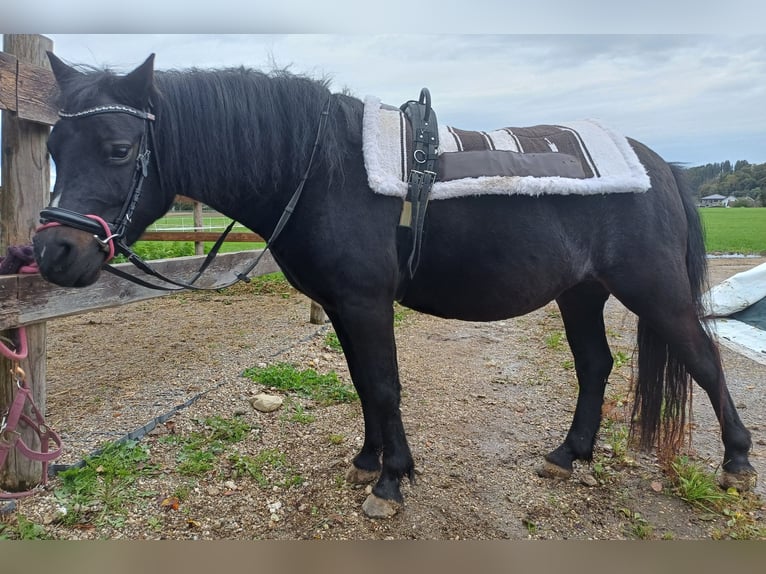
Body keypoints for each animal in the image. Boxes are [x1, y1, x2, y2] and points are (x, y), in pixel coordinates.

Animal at [34, 55, 756, 520]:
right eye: (54, 149)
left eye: (120, 148)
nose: (52, 253)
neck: (321, 170)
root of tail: (659, 165)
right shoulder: (340, 306)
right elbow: (362, 383)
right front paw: (369, 460)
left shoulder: (364, 301)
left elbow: (383, 385)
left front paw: (390, 483)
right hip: (582, 292)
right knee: (596, 365)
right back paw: (567, 454)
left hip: (652, 289)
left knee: (703, 360)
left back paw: (737, 464)